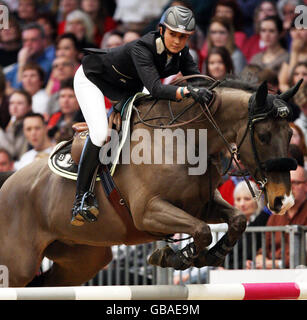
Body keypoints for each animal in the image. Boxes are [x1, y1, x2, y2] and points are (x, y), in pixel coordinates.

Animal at [0, 76, 302, 286]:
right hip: (17, 266)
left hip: (83, 258)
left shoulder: (201, 205)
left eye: (290, 135)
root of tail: (8, 182)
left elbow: (236, 221)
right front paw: (175, 256)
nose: (283, 201)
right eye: (263, 136)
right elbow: (202, 230)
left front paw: (208, 256)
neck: (185, 139)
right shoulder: (148, 212)